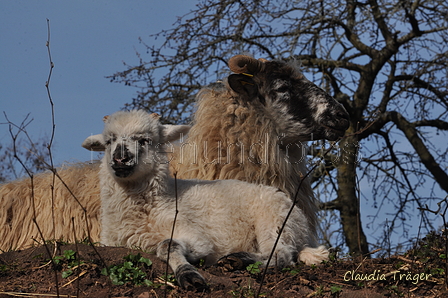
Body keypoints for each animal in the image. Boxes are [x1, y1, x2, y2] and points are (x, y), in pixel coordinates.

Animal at [100, 110, 328, 290]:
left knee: (281, 255)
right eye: (109, 141)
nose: (119, 159)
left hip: (276, 220)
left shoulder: (193, 234)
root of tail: (305, 231)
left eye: (145, 140)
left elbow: (168, 246)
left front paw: (189, 275)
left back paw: (239, 260)